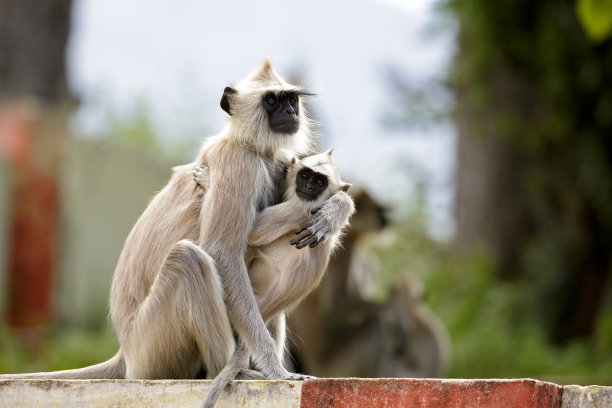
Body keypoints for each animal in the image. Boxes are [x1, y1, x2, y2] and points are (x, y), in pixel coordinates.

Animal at [194, 147, 352, 408]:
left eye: (320, 182)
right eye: (305, 176)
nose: (308, 187)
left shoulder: (300, 208)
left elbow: (252, 233)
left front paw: (208, 181)